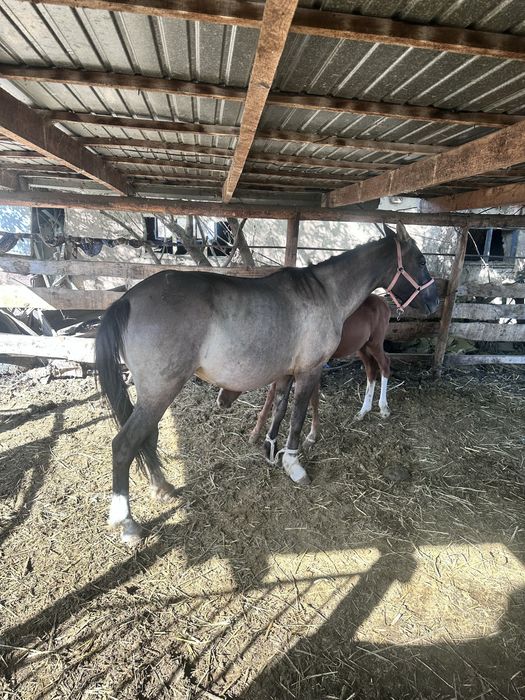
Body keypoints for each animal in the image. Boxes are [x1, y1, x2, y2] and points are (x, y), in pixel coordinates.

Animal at [217, 294, 391, 448]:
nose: (221, 402)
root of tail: (383, 302)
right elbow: (273, 394)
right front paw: (255, 433)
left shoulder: (312, 367)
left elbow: (311, 399)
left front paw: (311, 436)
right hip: (363, 347)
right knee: (370, 371)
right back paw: (363, 411)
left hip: (375, 343)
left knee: (384, 366)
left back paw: (383, 408)